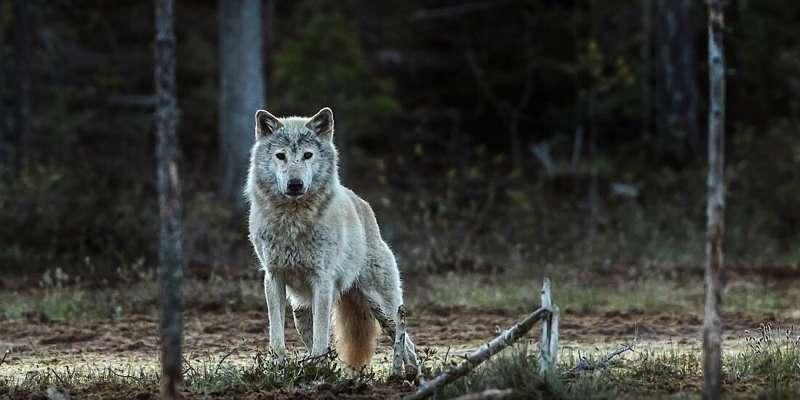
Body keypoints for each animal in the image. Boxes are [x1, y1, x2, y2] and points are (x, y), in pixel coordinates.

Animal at [244, 107, 418, 372]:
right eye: (281, 156)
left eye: (307, 155)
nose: (295, 184)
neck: (293, 221)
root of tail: (363, 205)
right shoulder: (273, 278)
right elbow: (277, 336)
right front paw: (278, 367)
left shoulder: (322, 281)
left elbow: (321, 336)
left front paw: (318, 368)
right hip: (301, 313)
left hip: (384, 308)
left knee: (407, 344)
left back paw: (410, 376)